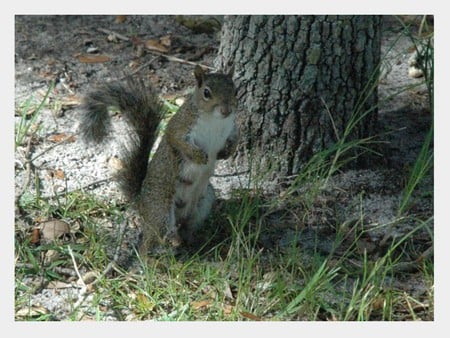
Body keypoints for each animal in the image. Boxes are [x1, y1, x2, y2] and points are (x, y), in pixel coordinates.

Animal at [79, 65, 239, 256]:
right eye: (206, 93)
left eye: (235, 90)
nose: (226, 111)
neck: (216, 122)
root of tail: (141, 202)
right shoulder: (180, 125)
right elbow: (175, 139)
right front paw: (198, 156)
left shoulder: (231, 128)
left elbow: (235, 140)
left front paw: (226, 152)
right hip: (160, 211)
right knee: (148, 242)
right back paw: (147, 260)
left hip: (204, 202)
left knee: (187, 228)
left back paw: (192, 244)